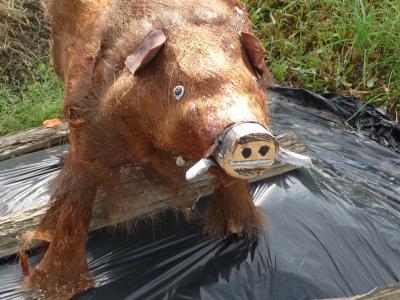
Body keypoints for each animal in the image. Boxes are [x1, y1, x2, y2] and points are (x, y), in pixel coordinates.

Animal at [19, 0, 278, 298]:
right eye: (178, 90)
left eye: (254, 84)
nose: (251, 134)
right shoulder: (88, 138)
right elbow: (76, 201)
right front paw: (52, 289)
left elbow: (231, 181)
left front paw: (237, 232)